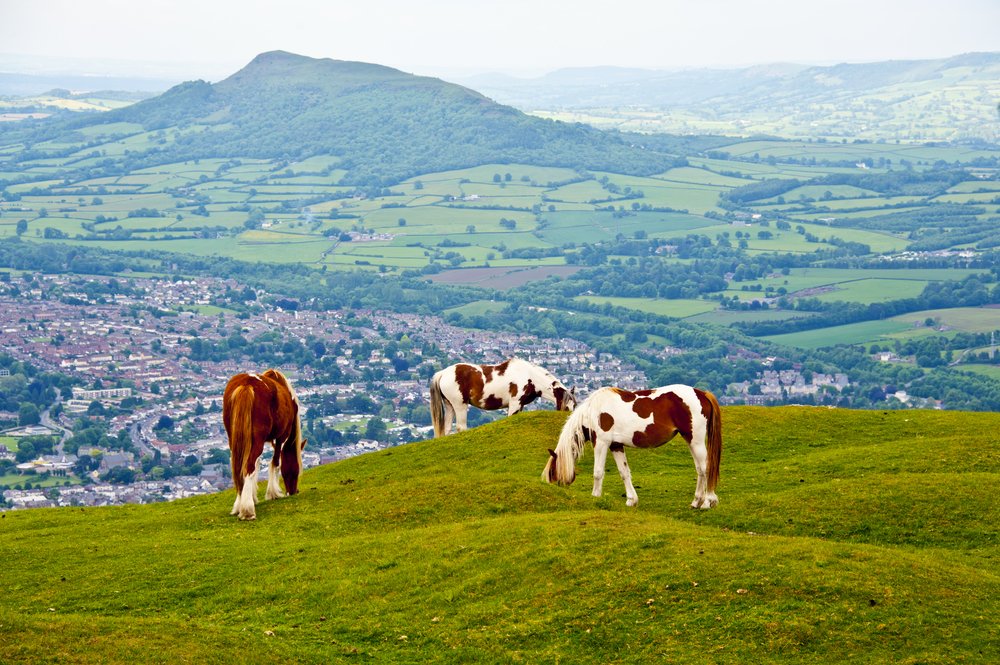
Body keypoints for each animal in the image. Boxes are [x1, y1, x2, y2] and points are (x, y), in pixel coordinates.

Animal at [223, 368, 304, 520]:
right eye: (296, 469)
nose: (293, 491)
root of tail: (246, 384)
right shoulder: (281, 438)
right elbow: (275, 463)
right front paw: (273, 493)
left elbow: (258, 465)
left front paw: (254, 496)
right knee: (248, 467)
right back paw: (247, 510)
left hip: (236, 440)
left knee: (239, 467)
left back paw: (239, 504)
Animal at [430, 358, 580, 436]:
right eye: (567, 407)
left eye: (575, 406)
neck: (530, 377)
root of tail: (442, 373)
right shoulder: (514, 404)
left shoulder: (520, 405)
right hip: (460, 405)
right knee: (461, 427)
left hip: (450, 405)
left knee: (446, 429)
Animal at [544, 384, 724, 508]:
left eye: (552, 471)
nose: (554, 487)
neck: (593, 412)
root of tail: (702, 394)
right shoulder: (616, 445)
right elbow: (624, 472)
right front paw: (631, 500)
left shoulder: (601, 443)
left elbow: (598, 472)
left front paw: (595, 496)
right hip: (691, 441)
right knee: (700, 470)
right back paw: (696, 501)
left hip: (696, 441)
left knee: (706, 468)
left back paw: (707, 502)